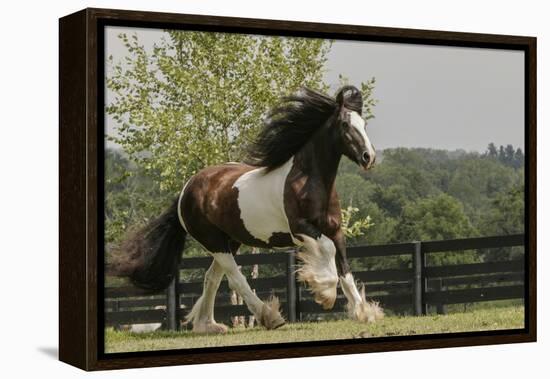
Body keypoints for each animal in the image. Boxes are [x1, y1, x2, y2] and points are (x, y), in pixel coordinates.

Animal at [110, 85, 386, 332]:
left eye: (364, 124)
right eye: (345, 125)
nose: (368, 157)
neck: (308, 182)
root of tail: (187, 189)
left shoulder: (336, 230)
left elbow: (345, 270)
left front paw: (364, 313)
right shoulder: (301, 229)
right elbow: (329, 254)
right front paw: (324, 293)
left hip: (229, 241)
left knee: (212, 277)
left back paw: (208, 326)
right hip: (214, 242)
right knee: (235, 277)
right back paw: (270, 317)